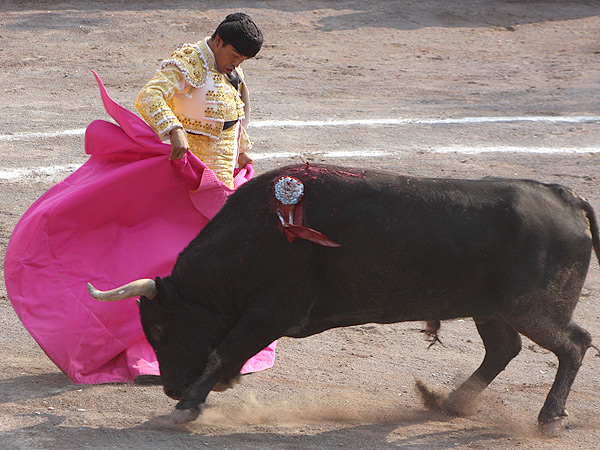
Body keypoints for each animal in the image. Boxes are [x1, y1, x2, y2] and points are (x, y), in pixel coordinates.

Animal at [89, 163, 600, 434]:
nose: (171, 388)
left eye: (159, 327)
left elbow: (224, 350)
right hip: (490, 308)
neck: (256, 235)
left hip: (532, 308)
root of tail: (565, 196)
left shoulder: (270, 313)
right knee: (503, 349)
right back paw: (451, 403)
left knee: (573, 343)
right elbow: (225, 354)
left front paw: (189, 405)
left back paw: (548, 418)